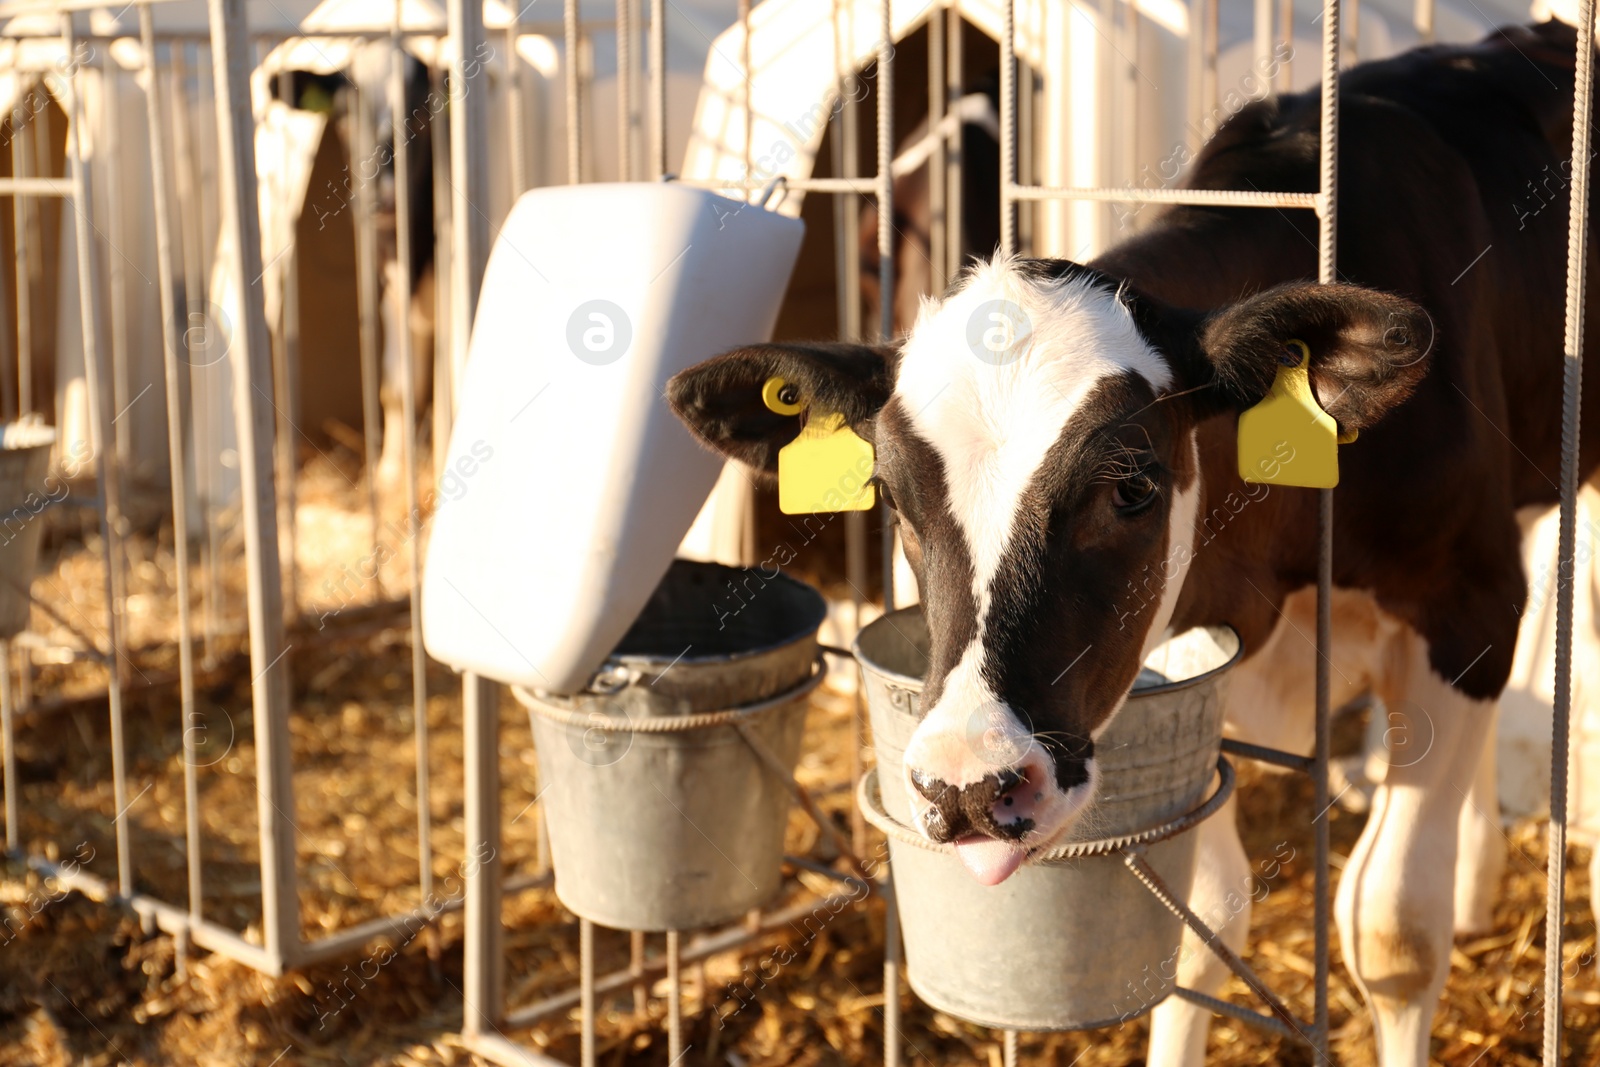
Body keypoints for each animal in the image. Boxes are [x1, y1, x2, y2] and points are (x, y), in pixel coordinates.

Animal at [668, 20, 1593, 1062]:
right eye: (892, 498)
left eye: (1133, 487)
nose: (969, 785)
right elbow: (1204, 920)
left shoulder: (1470, 602)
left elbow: (1394, 926)